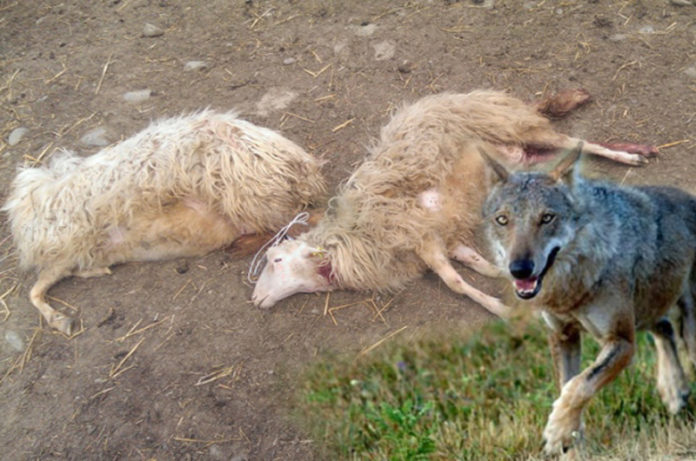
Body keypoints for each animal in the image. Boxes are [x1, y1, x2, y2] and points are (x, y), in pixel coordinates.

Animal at [3, 110, 326, 335]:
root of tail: (302, 167)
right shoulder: (71, 254)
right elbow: (40, 287)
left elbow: (36, 290)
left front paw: (61, 317)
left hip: (250, 198)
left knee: (298, 222)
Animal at [250, 89, 657, 316]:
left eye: (276, 260)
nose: (255, 299)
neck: (353, 238)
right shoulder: (439, 237)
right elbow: (476, 263)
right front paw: (501, 276)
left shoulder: (420, 237)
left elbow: (455, 282)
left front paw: (499, 310)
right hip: (528, 160)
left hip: (519, 129)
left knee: (579, 143)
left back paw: (630, 158)